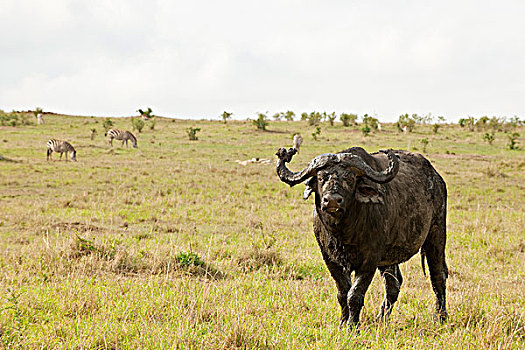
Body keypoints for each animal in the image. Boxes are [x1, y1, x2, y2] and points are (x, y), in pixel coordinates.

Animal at [274, 146, 446, 326]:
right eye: (321, 177)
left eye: (350, 178)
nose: (332, 200)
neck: (343, 233)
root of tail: (436, 179)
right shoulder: (330, 259)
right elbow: (343, 292)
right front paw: (343, 321)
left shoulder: (369, 260)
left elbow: (354, 294)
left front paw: (352, 325)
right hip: (389, 259)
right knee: (393, 284)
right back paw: (382, 318)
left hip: (436, 235)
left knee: (438, 276)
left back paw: (440, 317)